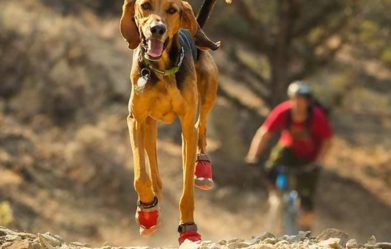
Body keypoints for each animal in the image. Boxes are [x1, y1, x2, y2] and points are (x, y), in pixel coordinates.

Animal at [119, 0, 225, 243]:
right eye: (145, 5)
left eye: (172, 10)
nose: (157, 29)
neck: (160, 69)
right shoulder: (135, 120)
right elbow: (141, 176)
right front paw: (147, 210)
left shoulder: (185, 123)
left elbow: (186, 191)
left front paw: (188, 227)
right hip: (149, 125)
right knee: (154, 169)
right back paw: (151, 204)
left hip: (209, 91)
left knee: (200, 127)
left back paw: (202, 168)